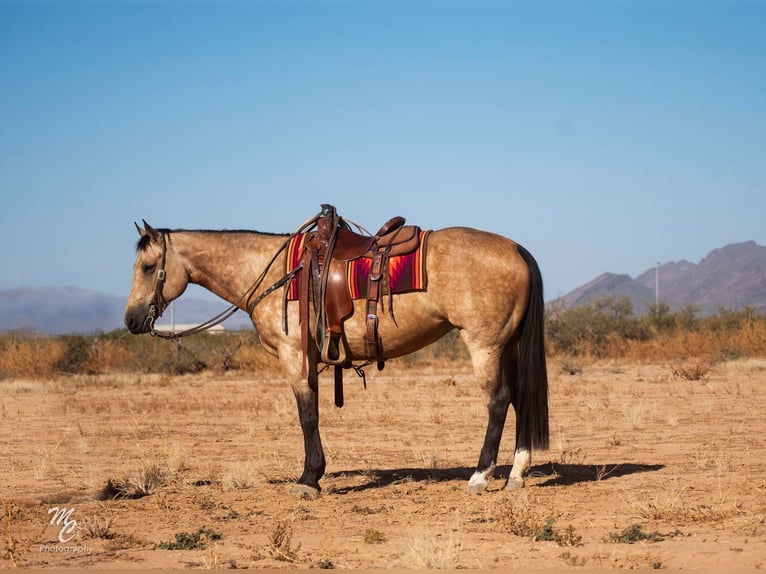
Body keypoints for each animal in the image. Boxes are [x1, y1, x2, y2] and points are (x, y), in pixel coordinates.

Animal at [123, 208, 548, 500]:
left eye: (148, 267)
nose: (130, 320)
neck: (276, 274)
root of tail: (517, 249)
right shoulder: (310, 360)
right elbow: (312, 414)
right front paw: (315, 474)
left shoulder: (294, 357)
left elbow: (307, 416)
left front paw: (309, 479)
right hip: (508, 345)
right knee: (520, 399)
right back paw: (516, 473)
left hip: (485, 345)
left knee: (498, 401)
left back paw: (480, 475)